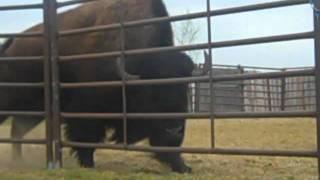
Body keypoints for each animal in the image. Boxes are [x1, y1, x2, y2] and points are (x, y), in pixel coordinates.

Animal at [0, 0, 209, 173]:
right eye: (150, 92)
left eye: (185, 88)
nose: (174, 130)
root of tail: (9, 48)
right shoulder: (87, 112)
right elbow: (86, 139)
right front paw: (88, 164)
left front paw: (183, 167)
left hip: (32, 112)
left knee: (17, 132)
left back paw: (19, 161)